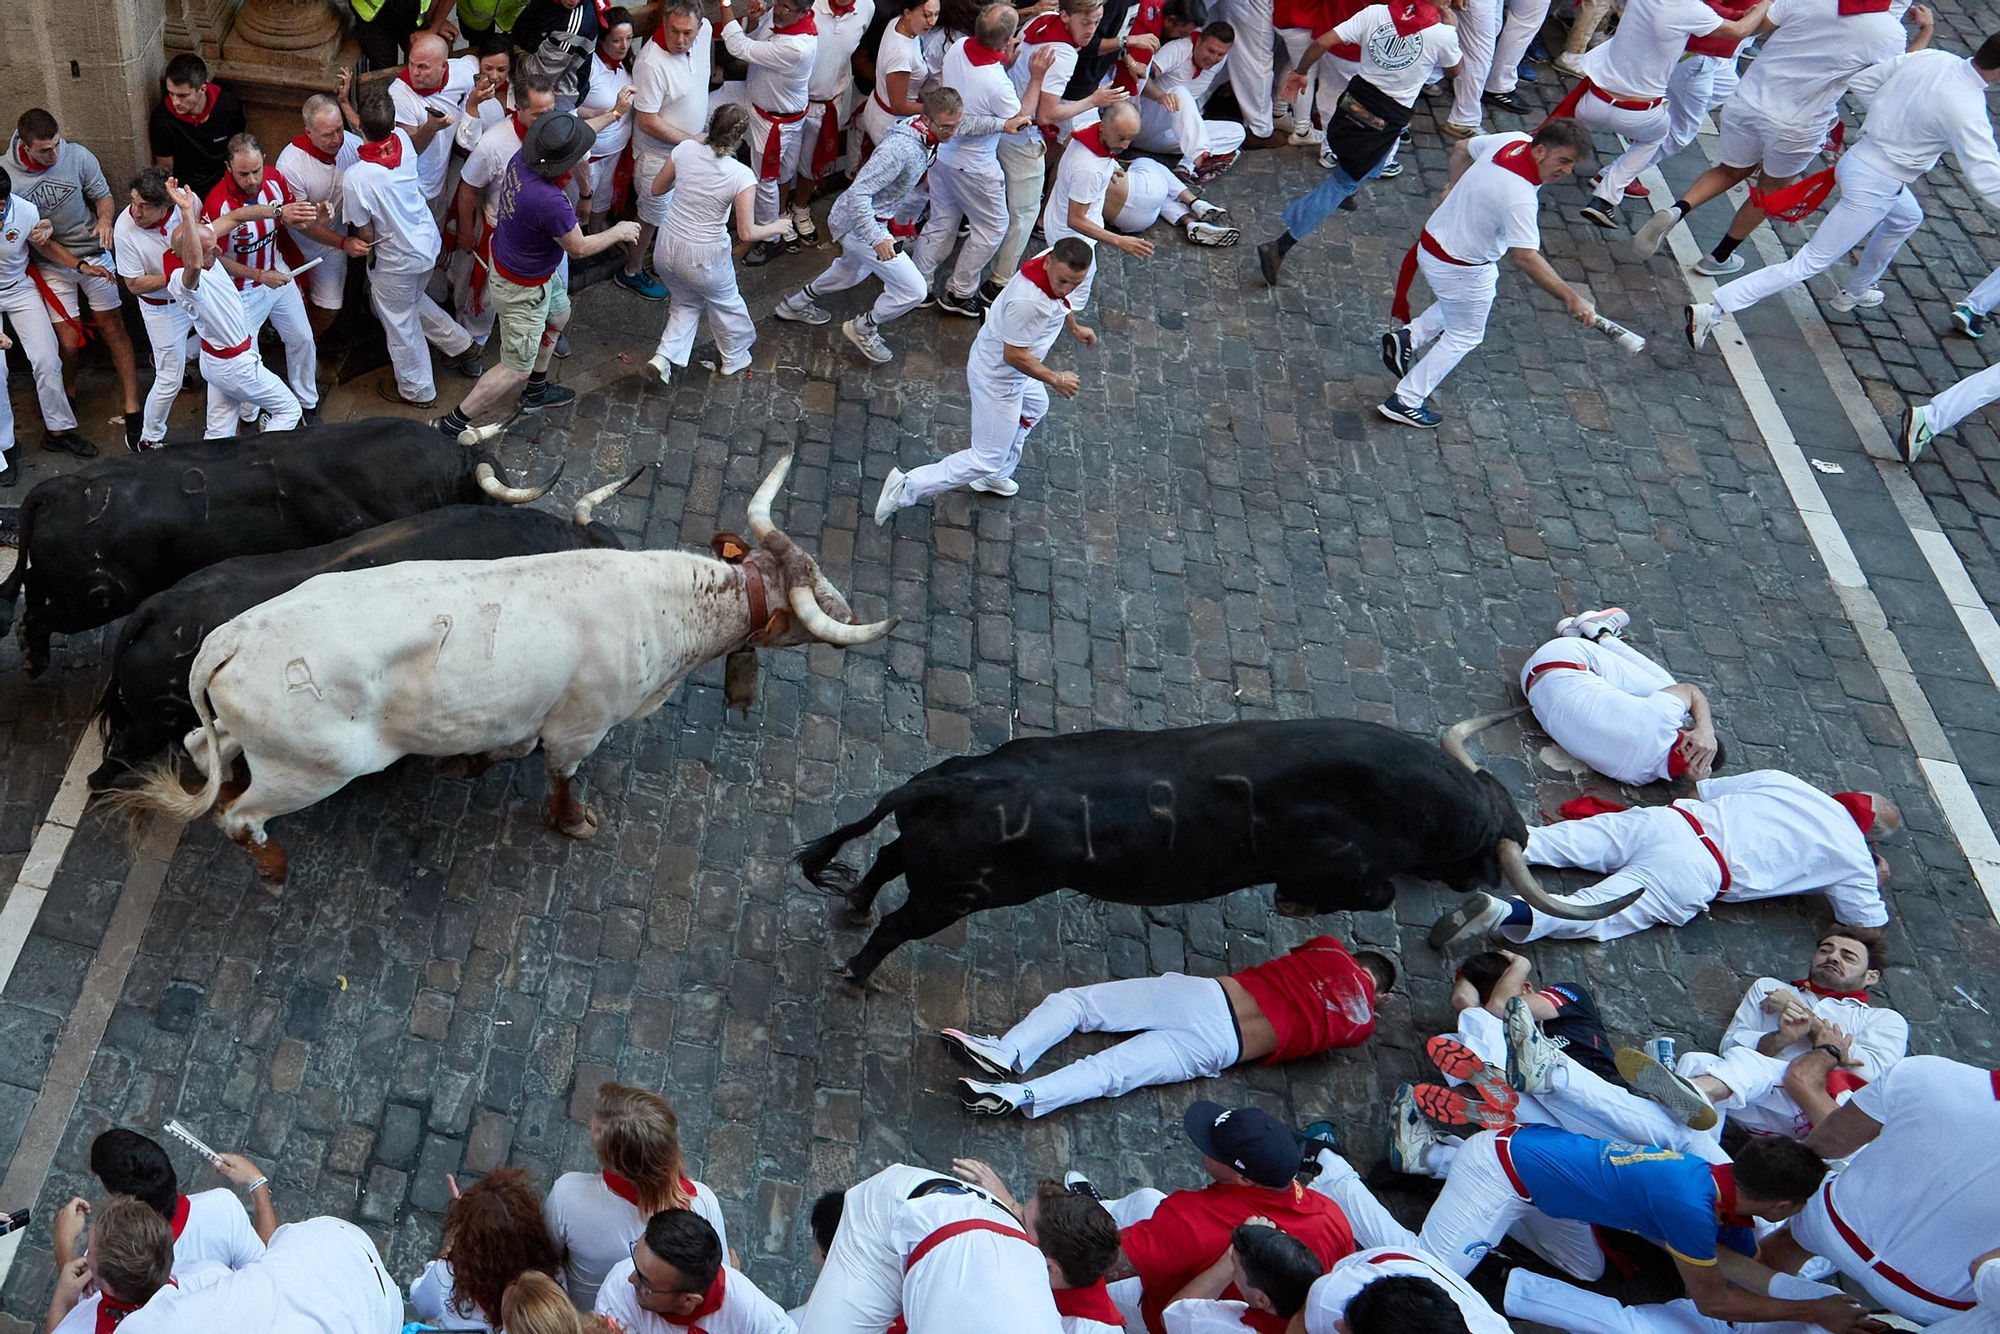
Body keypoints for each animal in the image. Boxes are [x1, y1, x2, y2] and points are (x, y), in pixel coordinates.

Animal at [796, 716, 1640, 988]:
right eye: (1479, 860)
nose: (1475, 884)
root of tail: (954, 780)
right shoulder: (1344, 865)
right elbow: (1372, 893)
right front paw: (1293, 905)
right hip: (959, 893)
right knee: (897, 924)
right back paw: (857, 975)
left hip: (929, 862)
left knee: (880, 868)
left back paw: (849, 911)